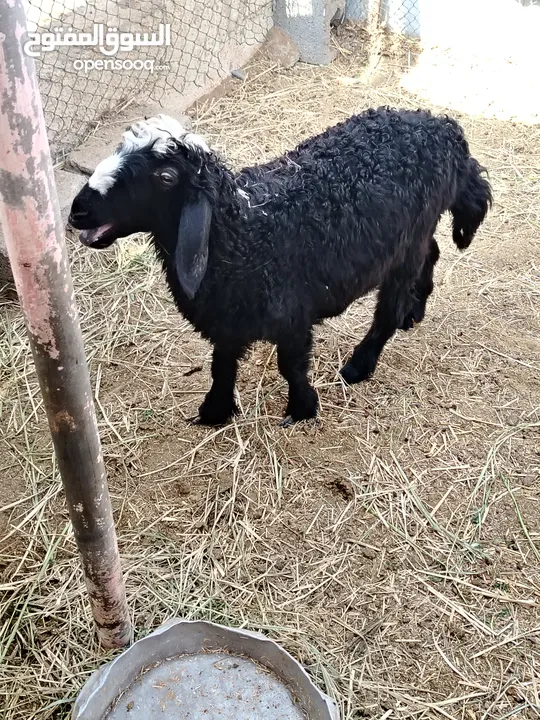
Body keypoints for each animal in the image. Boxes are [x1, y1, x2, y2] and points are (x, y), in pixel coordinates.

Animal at [69, 109, 492, 424]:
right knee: (431, 253)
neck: (245, 233)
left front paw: (302, 409)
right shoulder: (227, 316)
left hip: (407, 241)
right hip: (413, 234)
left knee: (389, 305)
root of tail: (443, 127)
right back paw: (414, 312)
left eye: (165, 176)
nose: (78, 210)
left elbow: (291, 366)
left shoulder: (292, 316)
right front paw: (214, 411)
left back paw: (360, 364)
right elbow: (221, 364)